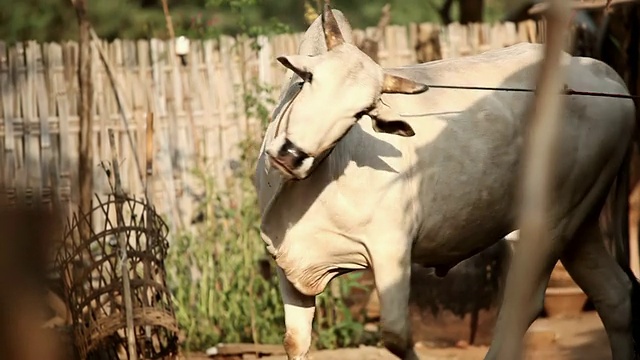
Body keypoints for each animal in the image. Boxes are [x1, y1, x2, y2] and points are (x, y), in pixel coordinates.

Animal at [255, 4, 640, 360]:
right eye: (309, 79)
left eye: (361, 112)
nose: (291, 154)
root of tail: (600, 73)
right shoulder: (286, 264)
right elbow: (295, 341)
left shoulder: (392, 248)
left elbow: (397, 336)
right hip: (580, 223)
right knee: (615, 295)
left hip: (548, 224)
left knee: (522, 305)